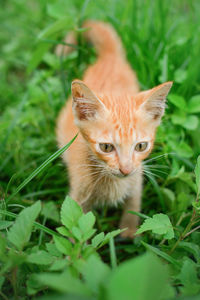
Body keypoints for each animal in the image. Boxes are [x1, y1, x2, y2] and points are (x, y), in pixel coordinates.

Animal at [55, 19, 172, 238]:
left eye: (141, 146)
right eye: (106, 147)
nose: (125, 169)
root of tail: (110, 58)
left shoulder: (137, 178)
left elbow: (133, 205)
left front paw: (130, 231)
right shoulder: (78, 195)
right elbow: (76, 230)